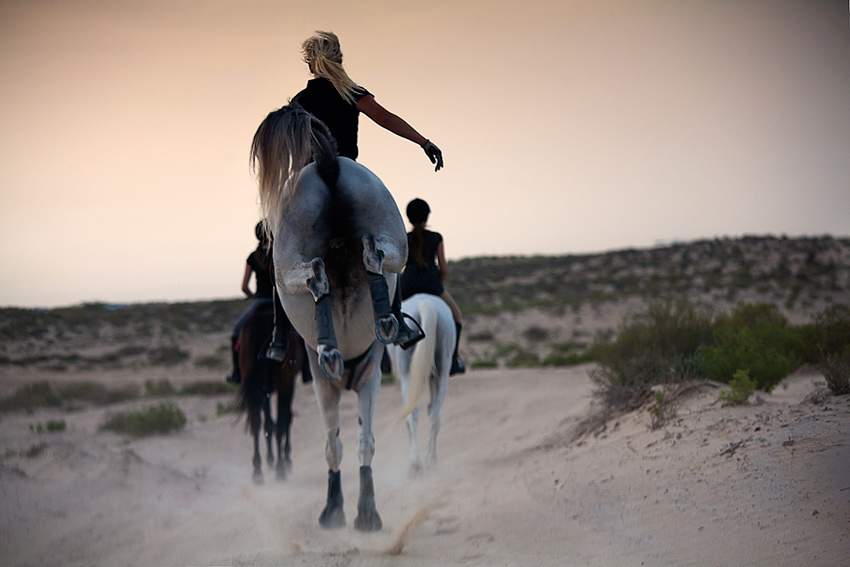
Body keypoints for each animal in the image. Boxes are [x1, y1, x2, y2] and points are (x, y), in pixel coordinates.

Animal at [235, 302, 308, 484]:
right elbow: (284, 419)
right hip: (283, 383)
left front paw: (270, 459)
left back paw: (258, 471)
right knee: (282, 421)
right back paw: (280, 468)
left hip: (257, 386)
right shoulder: (286, 385)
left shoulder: (263, 390)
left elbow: (269, 423)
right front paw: (284, 459)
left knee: (256, 423)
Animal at [248, 105, 410, 532]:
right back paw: (376, 322)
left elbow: (347, 444)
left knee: (315, 271)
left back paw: (336, 341)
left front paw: (350, 509)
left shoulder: (354, 380)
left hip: (287, 254)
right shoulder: (350, 382)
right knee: (374, 254)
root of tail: (327, 163)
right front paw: (352, 508)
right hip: (386, 229)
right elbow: (346, 444)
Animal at [388, 296, 458, 472]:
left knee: (412, 414)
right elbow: (431, 409)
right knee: (435, 414)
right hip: (442, 372)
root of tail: (425, 303)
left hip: (407, 375)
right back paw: (431, 458)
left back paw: (416, 463)